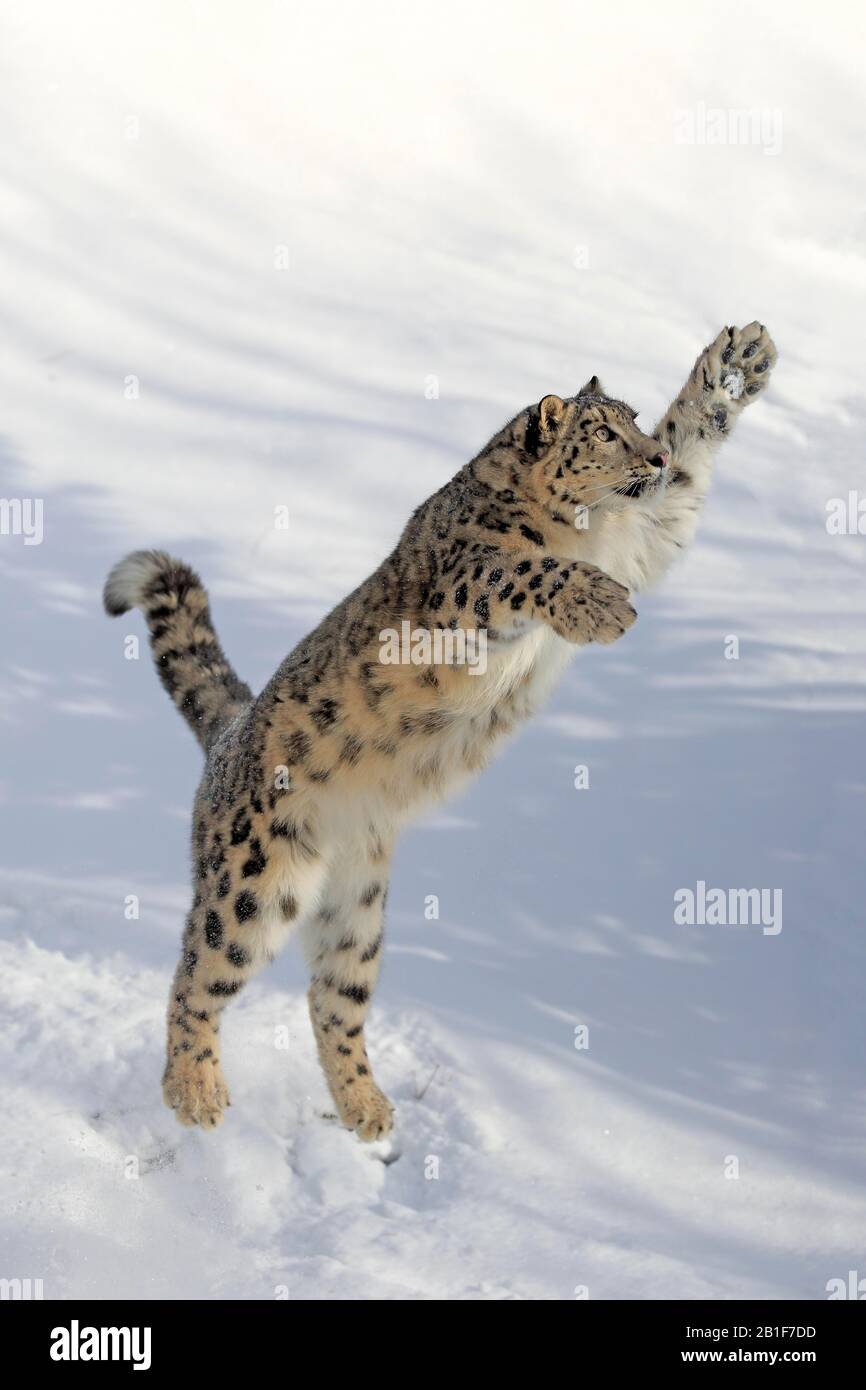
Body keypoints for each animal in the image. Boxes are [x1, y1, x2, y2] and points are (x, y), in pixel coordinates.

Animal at [103, 322, 778, 1139]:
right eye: (603, 433)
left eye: (638, 422)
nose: (648, 459)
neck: (589, 532)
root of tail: (230, 734)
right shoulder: (459, 591)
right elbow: (520, 571)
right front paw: (596, 606)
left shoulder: (646, 536)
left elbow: (689, 458)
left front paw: (739, 363)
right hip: (255, 882)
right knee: (197, 971)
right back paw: (195, 1091)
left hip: (356, 910)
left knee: (333, 998)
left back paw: (367, 1109)